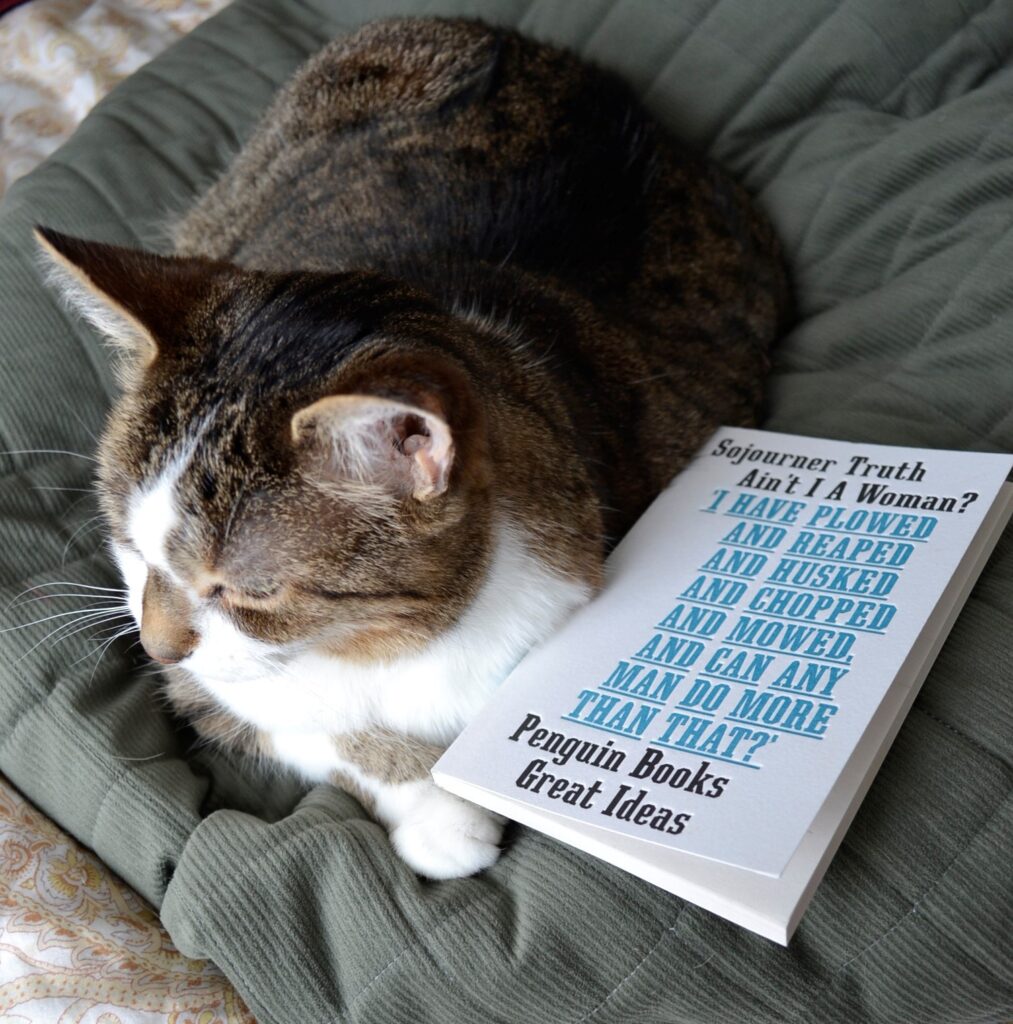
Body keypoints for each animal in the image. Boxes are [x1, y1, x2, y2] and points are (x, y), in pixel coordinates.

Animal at [35, 14, 786, 880]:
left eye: (251, 591)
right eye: (128, 544)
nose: (157, 650)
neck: (383, 645)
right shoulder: (217, 697)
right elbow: (316, 731)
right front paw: (436, 807)